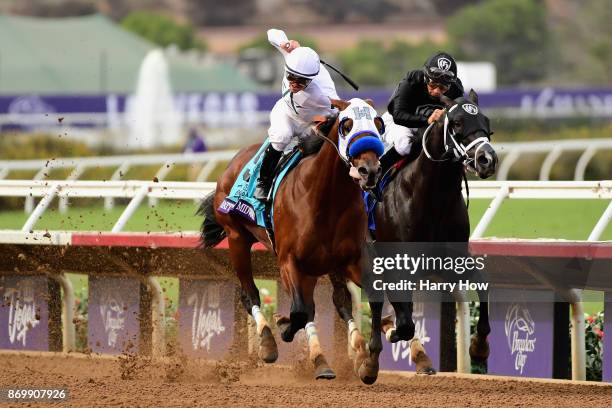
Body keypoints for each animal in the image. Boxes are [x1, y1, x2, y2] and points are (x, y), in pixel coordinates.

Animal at [201, 98, 384, 382]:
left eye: (379, 123)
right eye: (347, 125)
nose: (370, 171)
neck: (327, 198)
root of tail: (232, 163)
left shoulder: (350, 260)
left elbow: (372, 298)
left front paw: (368, 362)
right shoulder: (289, 261)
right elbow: (299, 311)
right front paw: (284, 328)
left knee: (336, 300)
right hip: (237, 238)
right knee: (250, 295)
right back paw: (270, 343)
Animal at [372, 91, 498, 372]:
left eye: (486, 121)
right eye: (458, 123)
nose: (487, 159)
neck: (432, 197)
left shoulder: (451, 259)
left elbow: (483, 282)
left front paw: (479, 347)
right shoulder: (398, 264)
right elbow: (405, 323)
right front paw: (392, 330)